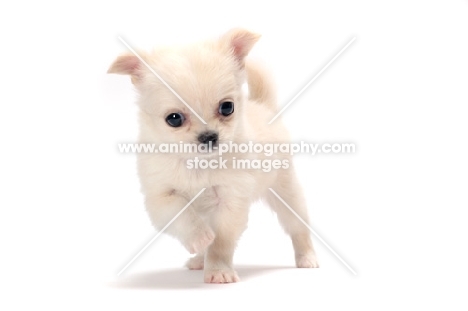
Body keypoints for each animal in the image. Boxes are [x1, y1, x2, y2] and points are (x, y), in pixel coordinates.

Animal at [108, 28, 318, 284]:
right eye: (174, 119)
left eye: (227, 107)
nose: (209, 136)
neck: (198, 164)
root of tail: (264, 107)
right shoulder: (160, 198)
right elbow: (181, 214)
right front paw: (199, 238)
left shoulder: (230, 202)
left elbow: (221, 243)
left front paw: (219, 271)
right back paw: (199, 258)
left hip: (286, 193)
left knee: (298, 228)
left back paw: (307, 257)